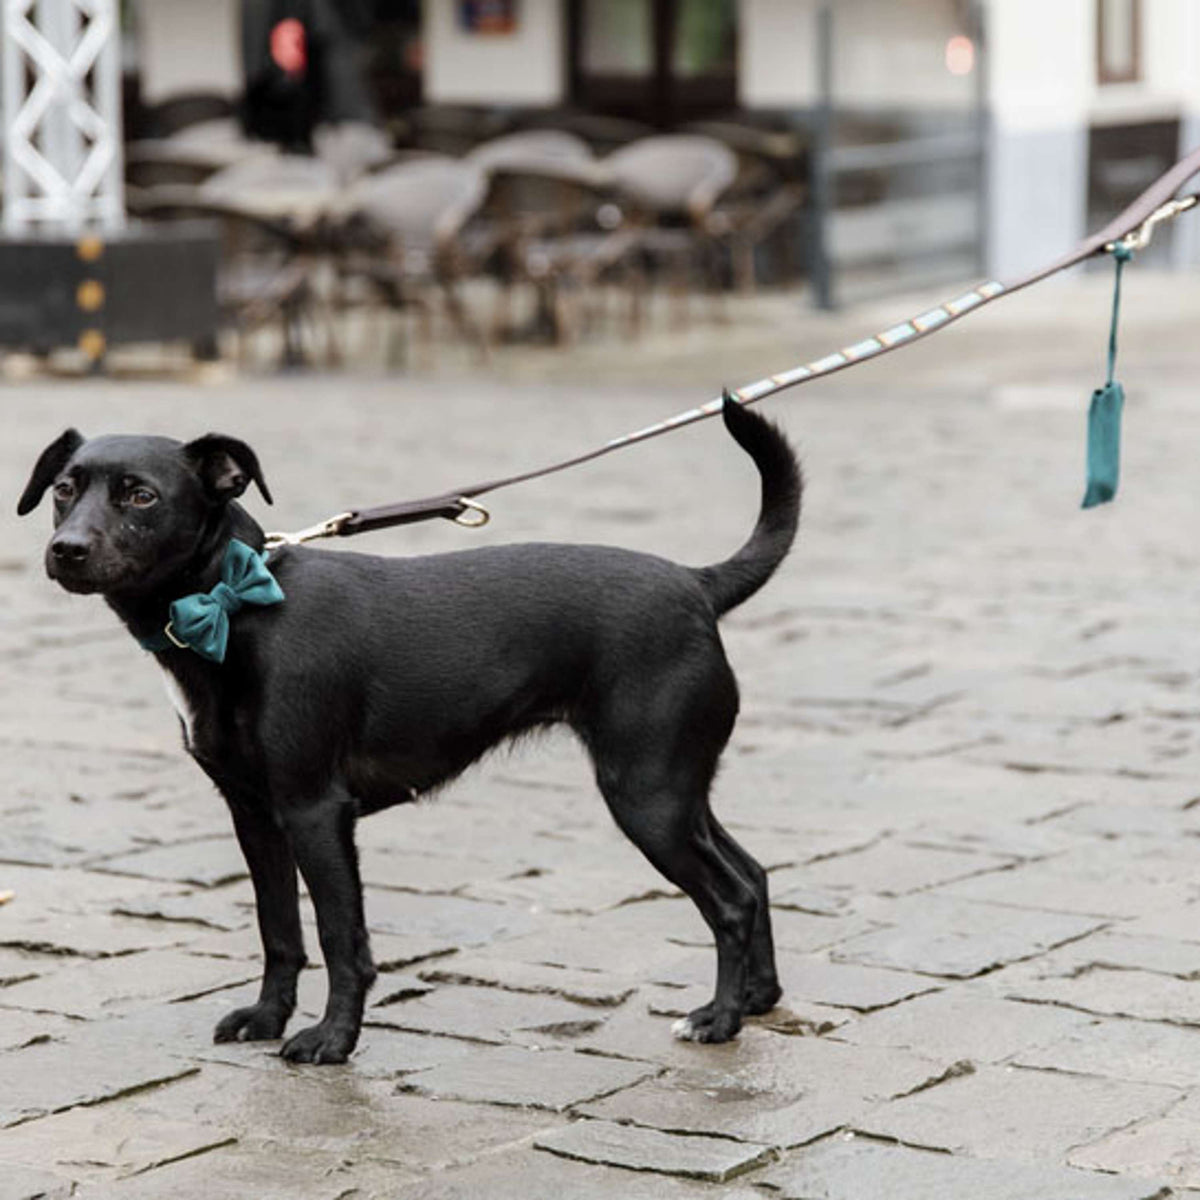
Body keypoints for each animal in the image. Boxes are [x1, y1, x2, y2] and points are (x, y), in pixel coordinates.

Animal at [18, 398, 801, 1065]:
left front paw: (332, 1041)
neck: (236, 608)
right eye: (63, 488)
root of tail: (698, 583)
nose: (66, 549)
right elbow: (279, 930)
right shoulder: (255, 816)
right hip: (675, 789)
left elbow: (340, 938)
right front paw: (267, 1019)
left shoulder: (315, 812)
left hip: (647, 798)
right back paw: (759, 998)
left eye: (141, 496)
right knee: (754, 874)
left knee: (730, 899)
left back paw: (719, 1020)